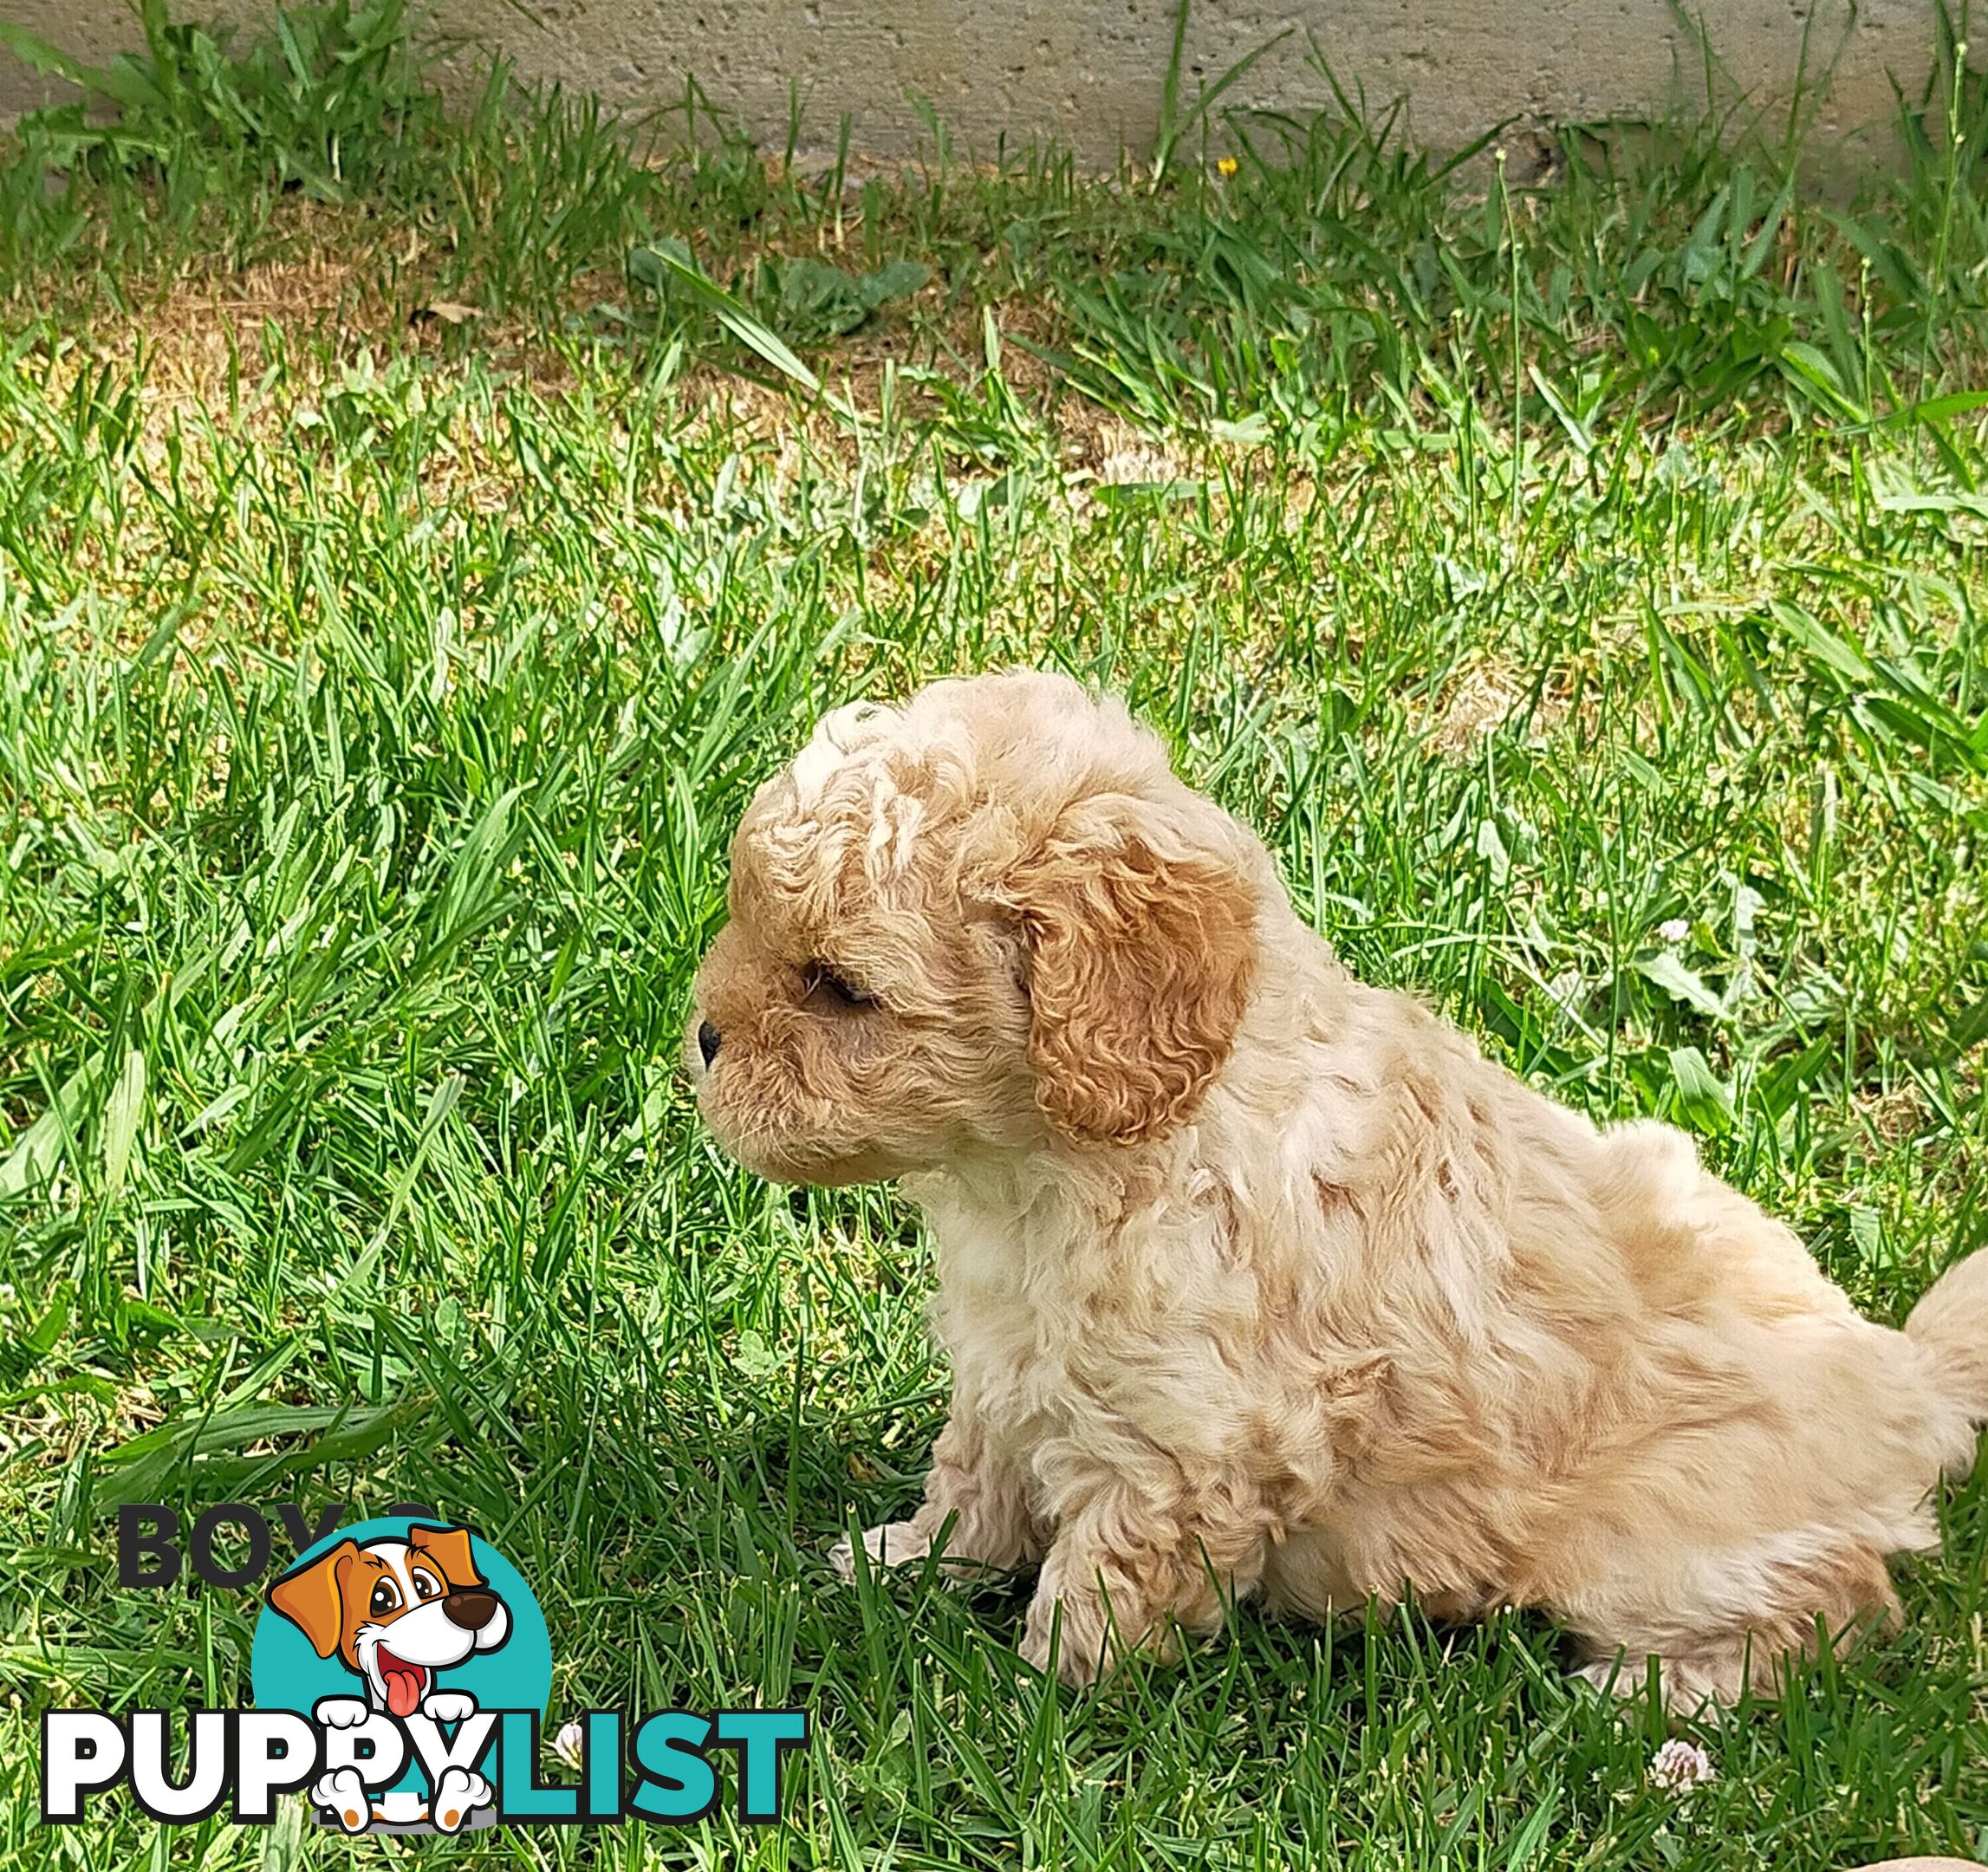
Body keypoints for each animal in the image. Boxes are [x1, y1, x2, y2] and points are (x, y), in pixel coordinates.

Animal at [687, 675, 1988, 1717]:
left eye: (839, 988)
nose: (699, 1038)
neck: (1053, 1167)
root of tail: (1910, 1379)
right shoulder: (1012, 1368)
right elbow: (975, 1477)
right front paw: (903, 1564)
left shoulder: (1183, 1444)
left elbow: (1102, 1581)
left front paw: (1028, 1701)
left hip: (1659, 1539)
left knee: (1836, 1603)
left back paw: (1657, 1706)